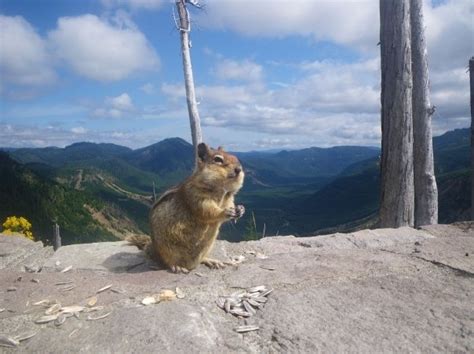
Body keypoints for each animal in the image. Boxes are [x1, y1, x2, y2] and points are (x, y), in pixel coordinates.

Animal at [128, 142, 244, 272]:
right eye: (218, 159)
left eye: (235, 157)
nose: (239, 169)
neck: (221, 191)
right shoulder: (196, 197)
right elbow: (207, 211)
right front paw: (225, 212)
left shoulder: (229, 199)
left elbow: (230, 206)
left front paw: (240, 210)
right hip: (166, 249)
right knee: (167, 262)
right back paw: (177, 266)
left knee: (201, 259)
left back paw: (211, 261)